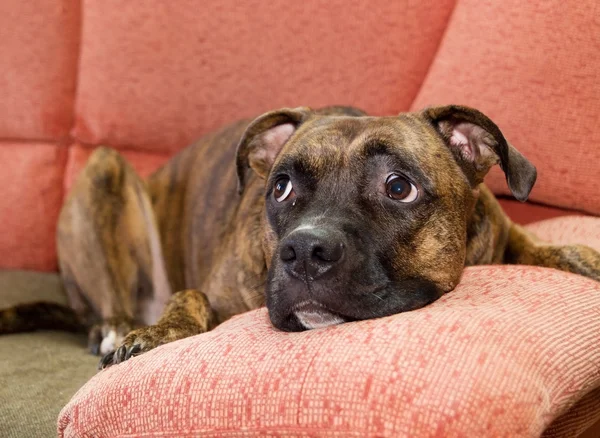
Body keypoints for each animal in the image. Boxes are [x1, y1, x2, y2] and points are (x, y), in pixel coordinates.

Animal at [1, 106, 600, 370]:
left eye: (399, 186)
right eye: (282, 186)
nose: (303, 251)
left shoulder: (500, 225)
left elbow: (539, 246)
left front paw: (577, 256)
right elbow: (188, 295)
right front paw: (157, 333)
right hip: (103, 168)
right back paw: (114, 327)